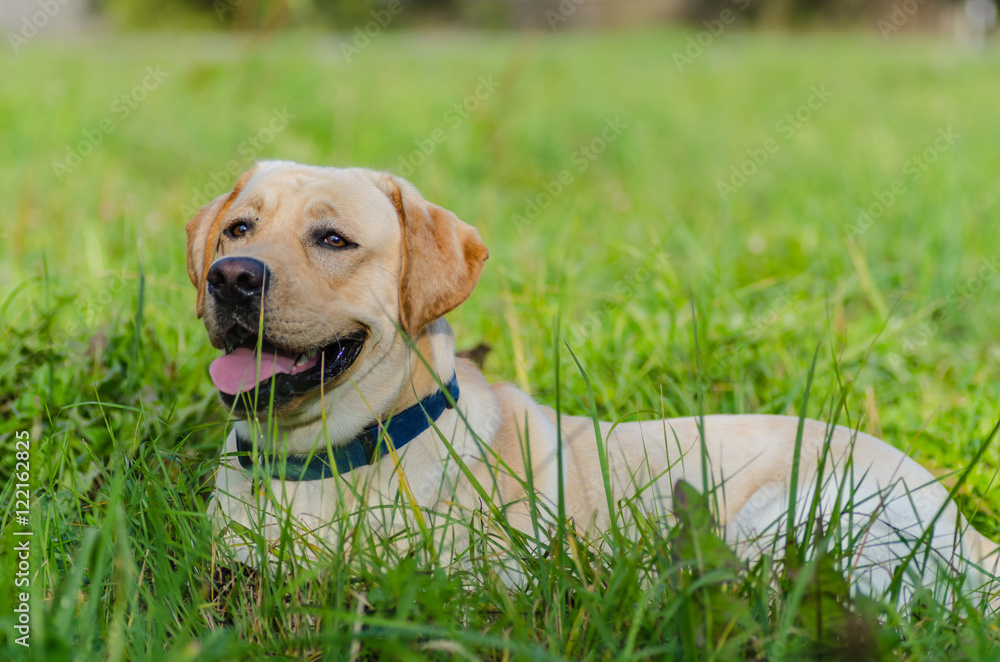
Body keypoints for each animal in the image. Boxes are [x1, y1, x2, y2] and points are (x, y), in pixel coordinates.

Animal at [189, 162, 1000, 608]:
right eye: (238, 228)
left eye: (333, 240)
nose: (232, 278)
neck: (320, 462)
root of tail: (966, 528)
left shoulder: (481, 575)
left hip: (783, 522)